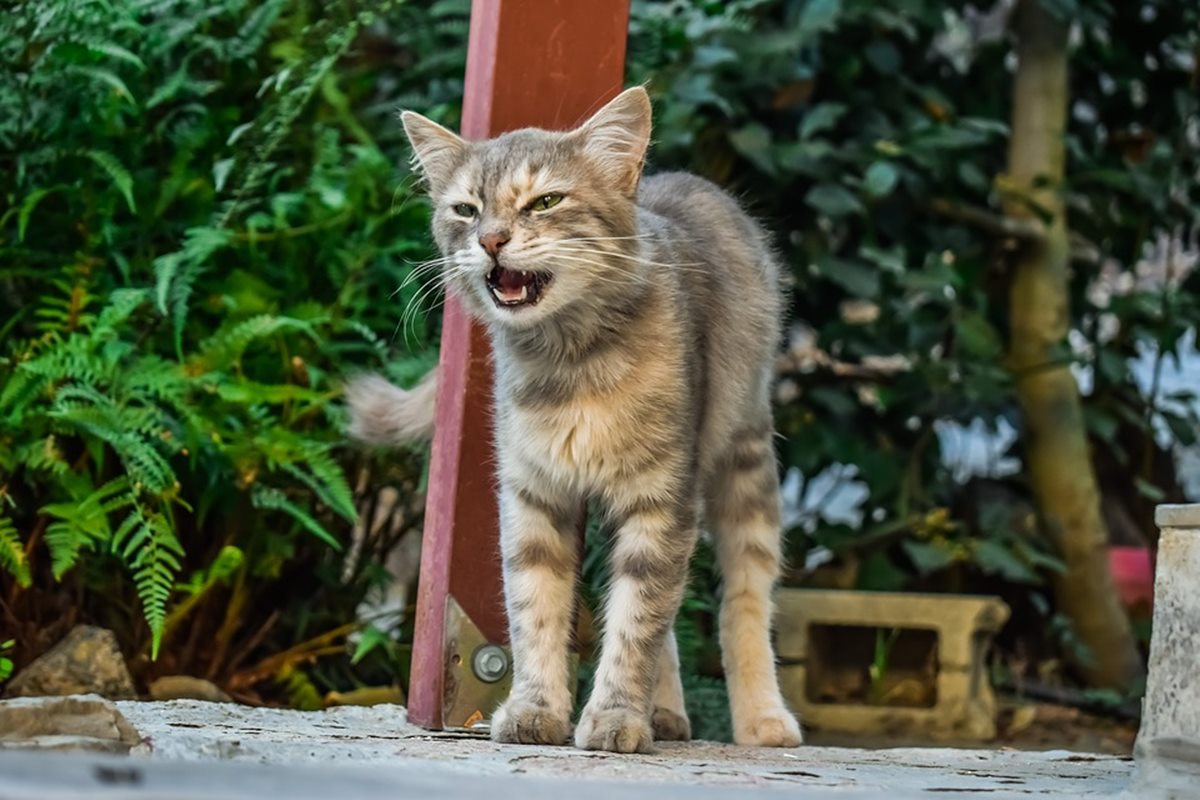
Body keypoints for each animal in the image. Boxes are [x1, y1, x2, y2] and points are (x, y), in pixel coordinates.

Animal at [345, 87, 806, 758]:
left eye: (545, 201)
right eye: (466, 209)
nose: (492, 240)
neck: (571, 362)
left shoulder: (660, 499)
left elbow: (637, 622)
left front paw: (615, 718)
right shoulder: (534, 495)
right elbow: (536, 611)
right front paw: (537, 710)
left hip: (744, 463)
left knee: (743, 599)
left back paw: (762, 719)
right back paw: (666, 711)